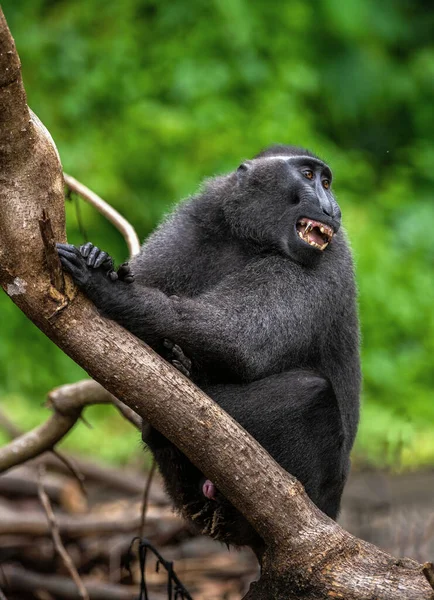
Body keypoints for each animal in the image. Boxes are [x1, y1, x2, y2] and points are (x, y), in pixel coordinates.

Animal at [58, 144, 362, 548]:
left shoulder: (329, 260)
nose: (332, 206)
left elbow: (242, 342)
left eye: (327, 182)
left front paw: (116, 294)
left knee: (308, 393)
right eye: (310, 177)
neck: (251, 240)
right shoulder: (196, 220)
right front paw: (100, 262)